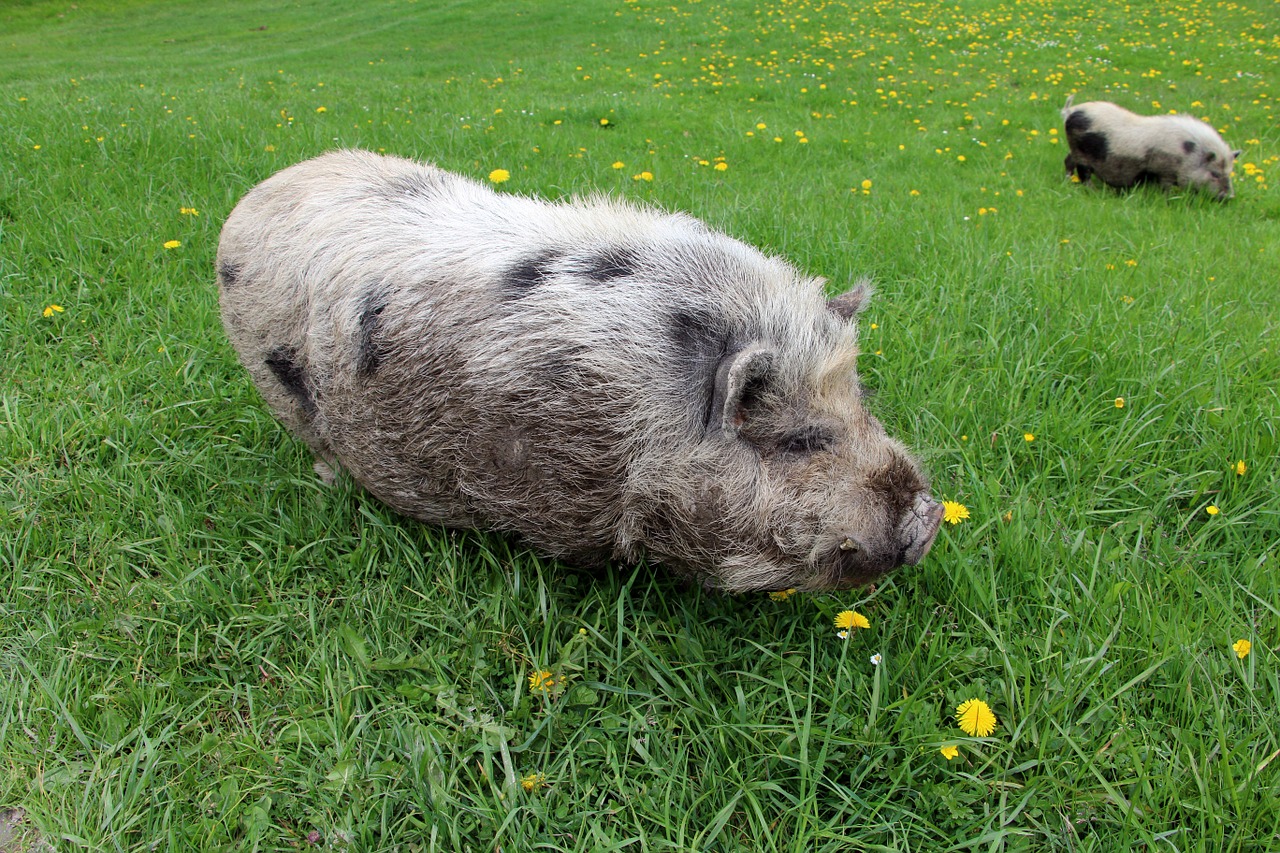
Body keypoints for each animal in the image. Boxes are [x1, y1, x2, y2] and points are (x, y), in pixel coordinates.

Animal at [1059, 95, 1239, 198]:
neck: (1186, 154)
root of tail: (1071, 111)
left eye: (1229, 172)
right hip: (1081, 152)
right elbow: (1165, 188)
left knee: (1068, 161)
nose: (1229, 196)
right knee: (1084, 173)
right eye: (1215, 174)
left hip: (1074, 150)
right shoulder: (1164, 171)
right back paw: (1091, 191)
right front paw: (1167, 199)